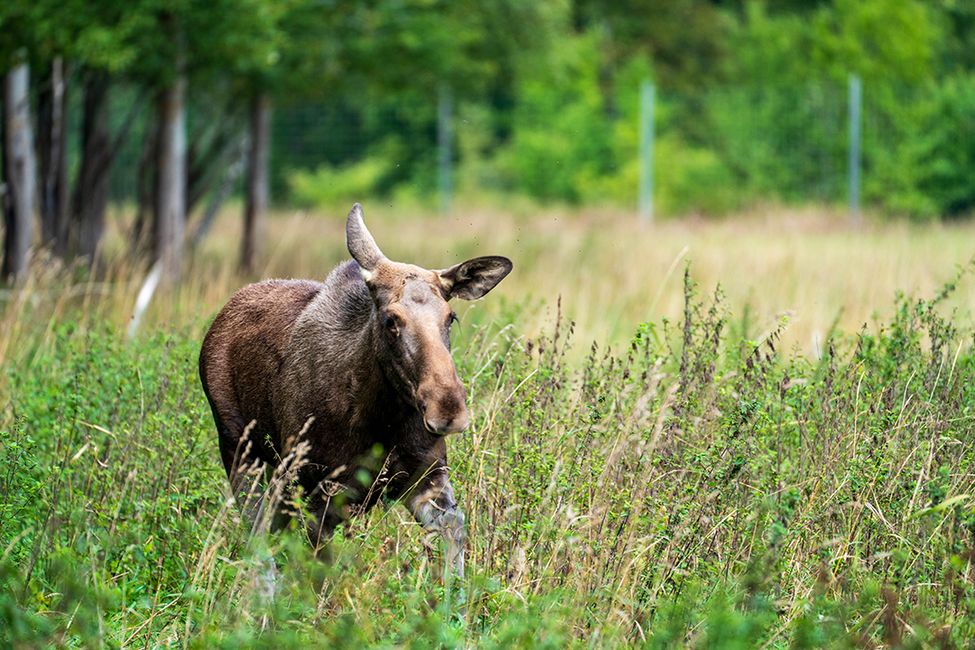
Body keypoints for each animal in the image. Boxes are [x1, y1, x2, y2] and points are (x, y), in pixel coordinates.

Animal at [199, 203, 511, 589]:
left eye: (450, 317)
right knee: (259, 540)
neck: (380, 418)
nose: (448, 408)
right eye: (391, 321)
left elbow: (455, 531)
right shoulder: (323, 493)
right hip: (242, 453)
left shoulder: (425, 476)